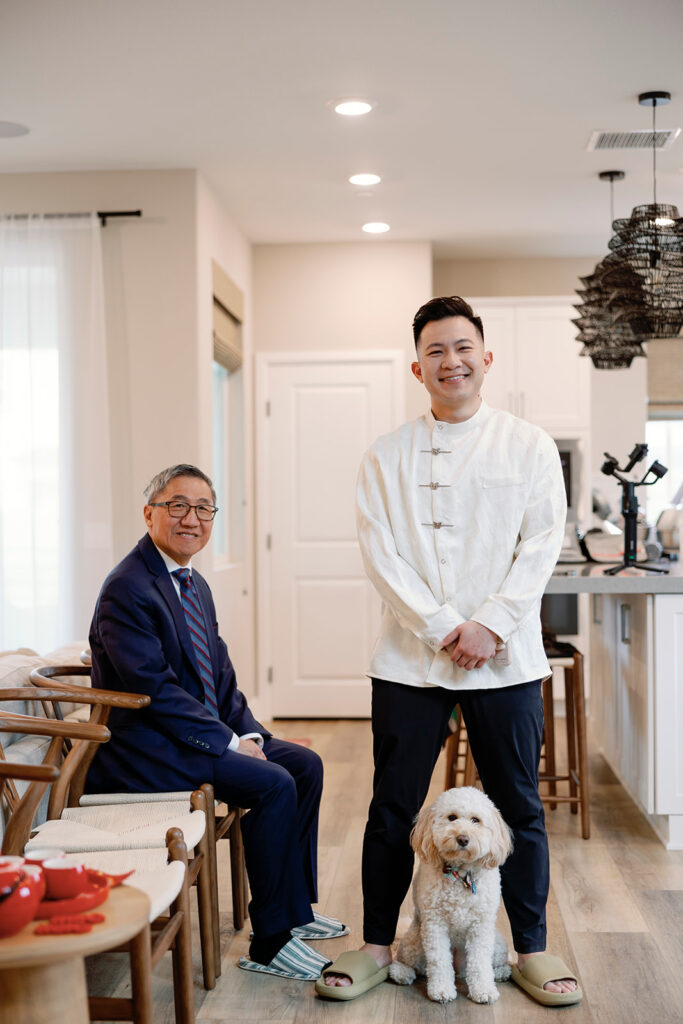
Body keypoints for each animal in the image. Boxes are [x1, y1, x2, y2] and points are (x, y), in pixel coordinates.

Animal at [389, 786, 511, 1003]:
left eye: (475, 820)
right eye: (452, 817)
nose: (462, 838)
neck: (461, 875)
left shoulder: (481, 927)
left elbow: (480, 962)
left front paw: (484, 990)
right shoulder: (435, 925)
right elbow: (439, 961)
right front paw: (442, 990)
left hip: (496, 943)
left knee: (488, 964)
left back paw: (501, 972)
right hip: (414, 942)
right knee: (411, 963)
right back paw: (401, 972)